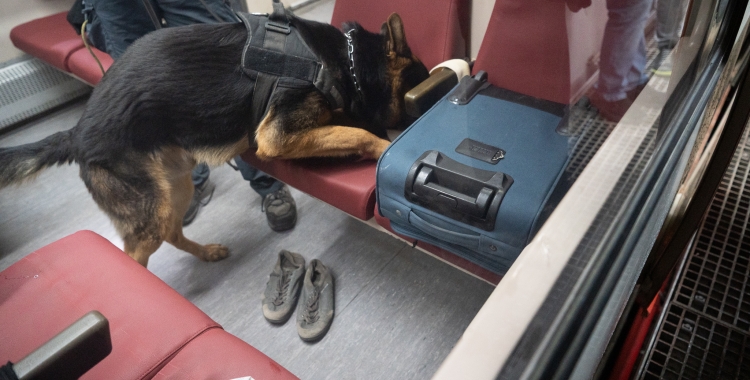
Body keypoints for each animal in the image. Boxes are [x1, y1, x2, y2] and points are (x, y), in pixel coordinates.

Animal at [0, 12, 428, 268]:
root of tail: (76, 132)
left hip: (175, 187)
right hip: (149, 216)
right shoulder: (275, 137)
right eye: (422, 92)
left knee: (173, 232)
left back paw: (206, 253)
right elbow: (356, 133)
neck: (346, 61)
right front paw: (382, 146)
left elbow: (345, 124)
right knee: (134, 255)